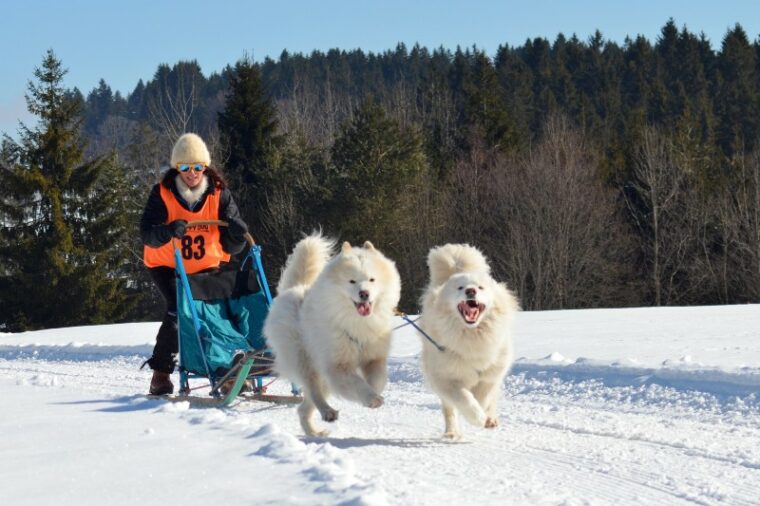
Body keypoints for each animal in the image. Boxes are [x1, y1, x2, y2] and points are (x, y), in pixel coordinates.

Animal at [262, 233, 400, 434]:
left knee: (303, 408)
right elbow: (357, 383)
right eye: (352, 281)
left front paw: (373, 394)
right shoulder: (337, 365)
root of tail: (293, 289)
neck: (357, 322)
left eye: (372, 279)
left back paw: (314, 431)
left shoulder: (374, 358)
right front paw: (371, 398)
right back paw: (327, 412)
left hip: (322, 376)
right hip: (305, 361)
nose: (364, 293)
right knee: (313, 391)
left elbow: (377, 380)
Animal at [418, 242, 520, 438]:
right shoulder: (446, 378)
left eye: (480, 288)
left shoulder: (491, 374)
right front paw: (477, 418)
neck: (473, 335)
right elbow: (464, 398)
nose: (470, 290)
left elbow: (485, 396)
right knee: (449, 410)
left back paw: (491, 420)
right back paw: (452, 433)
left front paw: (485, 417)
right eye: (459, 288)